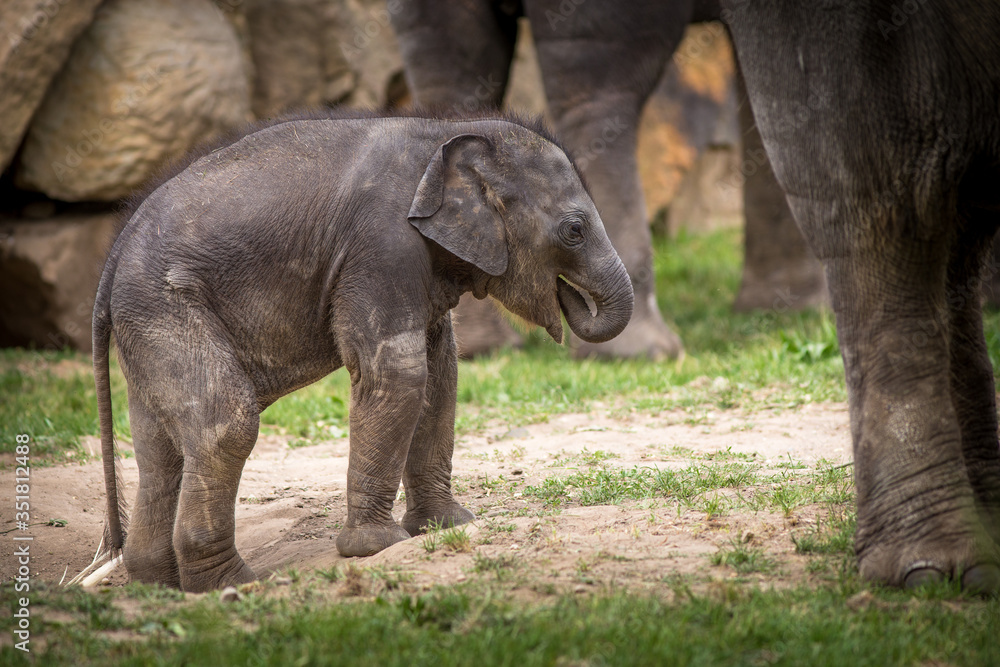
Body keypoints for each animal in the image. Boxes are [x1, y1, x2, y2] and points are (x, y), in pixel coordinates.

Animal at [92, 108, 633, 592]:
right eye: (574, 231)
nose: (569, 296)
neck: (447, 129)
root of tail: (114, 252)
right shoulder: (381, 246)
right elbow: (400, 373)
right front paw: (377, 548)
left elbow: (441, 374)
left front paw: (450, 526)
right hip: (164, 306)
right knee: (224, 424)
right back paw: (232, 584)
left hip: (148, 324)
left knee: (160, 448)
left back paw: (158, 585)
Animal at [390, 0, 826, 359]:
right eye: (574, 232)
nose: (566, 290)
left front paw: (786, 307)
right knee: (599, 79)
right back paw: (644, 354)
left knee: (449, 62)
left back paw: (483, 350)